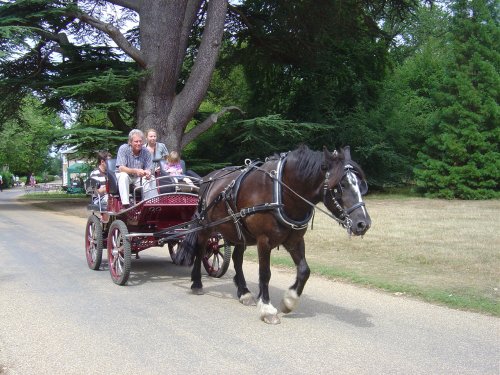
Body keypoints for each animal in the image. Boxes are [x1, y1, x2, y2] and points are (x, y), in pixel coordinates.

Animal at [174, 145, 370, 324]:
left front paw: (289, 301)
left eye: (361, 185)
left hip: (238, 232)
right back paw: (197, 283)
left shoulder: (295, 240)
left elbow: (304, 270)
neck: (281, 192)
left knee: (237, 259)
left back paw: (244, 292)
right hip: (205, 228)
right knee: (200, 251)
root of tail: (207, 179)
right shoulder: (264, 240)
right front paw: (267, 308)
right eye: (340, 186)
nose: (363, 223)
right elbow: (265, 273)